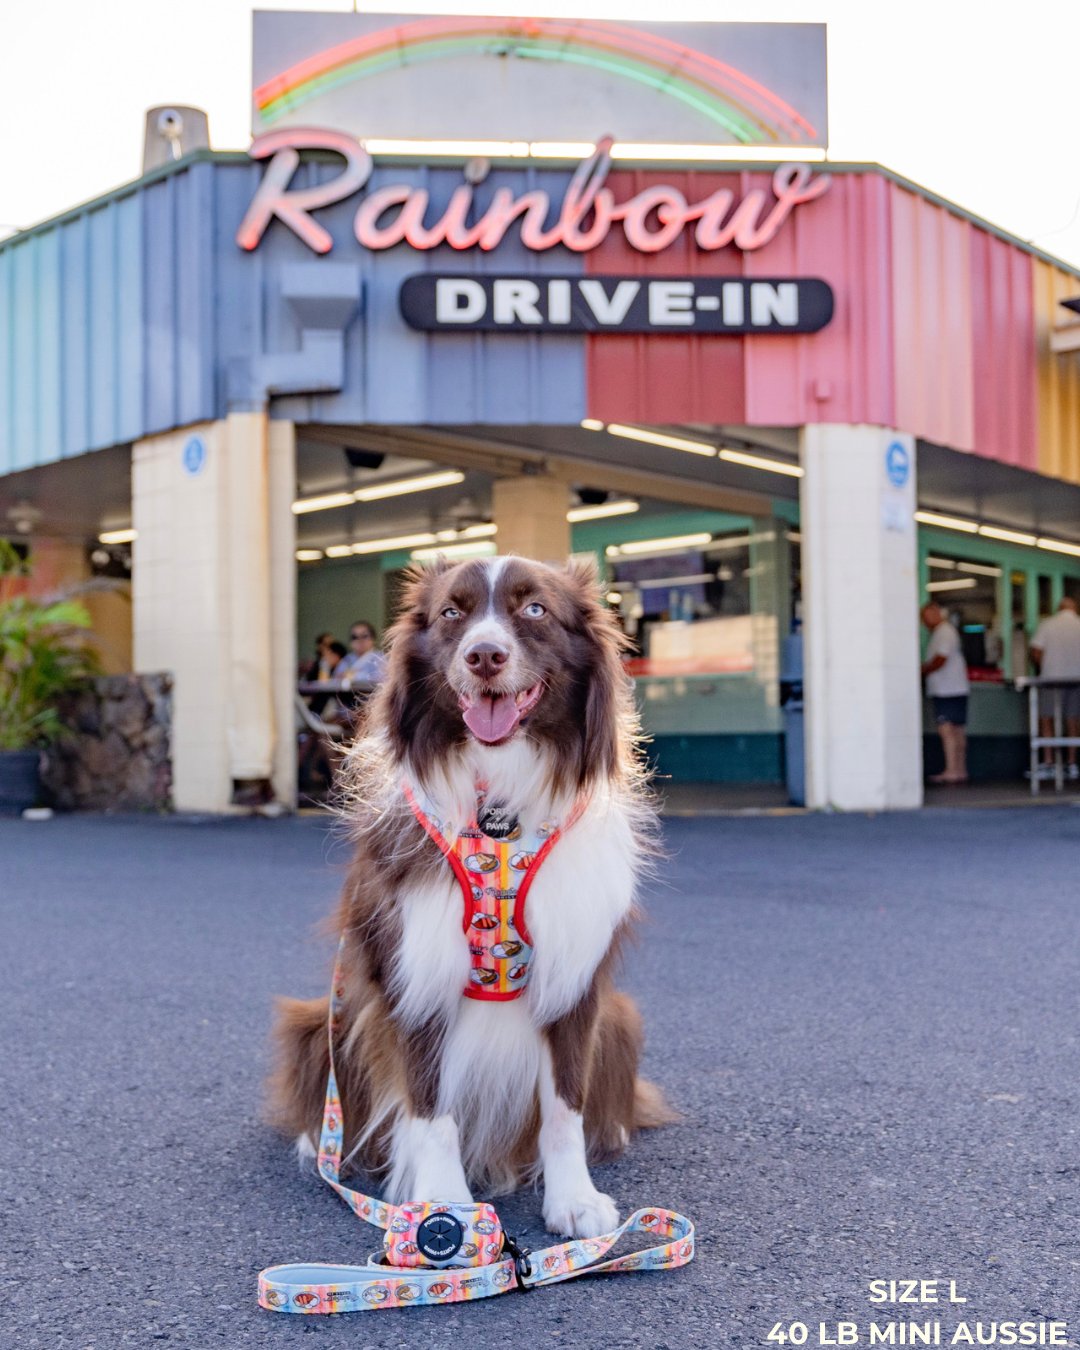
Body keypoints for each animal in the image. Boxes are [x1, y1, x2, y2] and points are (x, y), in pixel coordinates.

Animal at [270, 553, 669, 1236]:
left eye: (534, 609)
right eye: (452, 613)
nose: (484, 655)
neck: (498, 808)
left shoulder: (574, 975)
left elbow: (565, 1104)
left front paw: (574, 1199)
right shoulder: (417, 966)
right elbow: (430, 1105)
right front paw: (444, 1204)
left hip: (620, 1020)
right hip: (324, 1016)